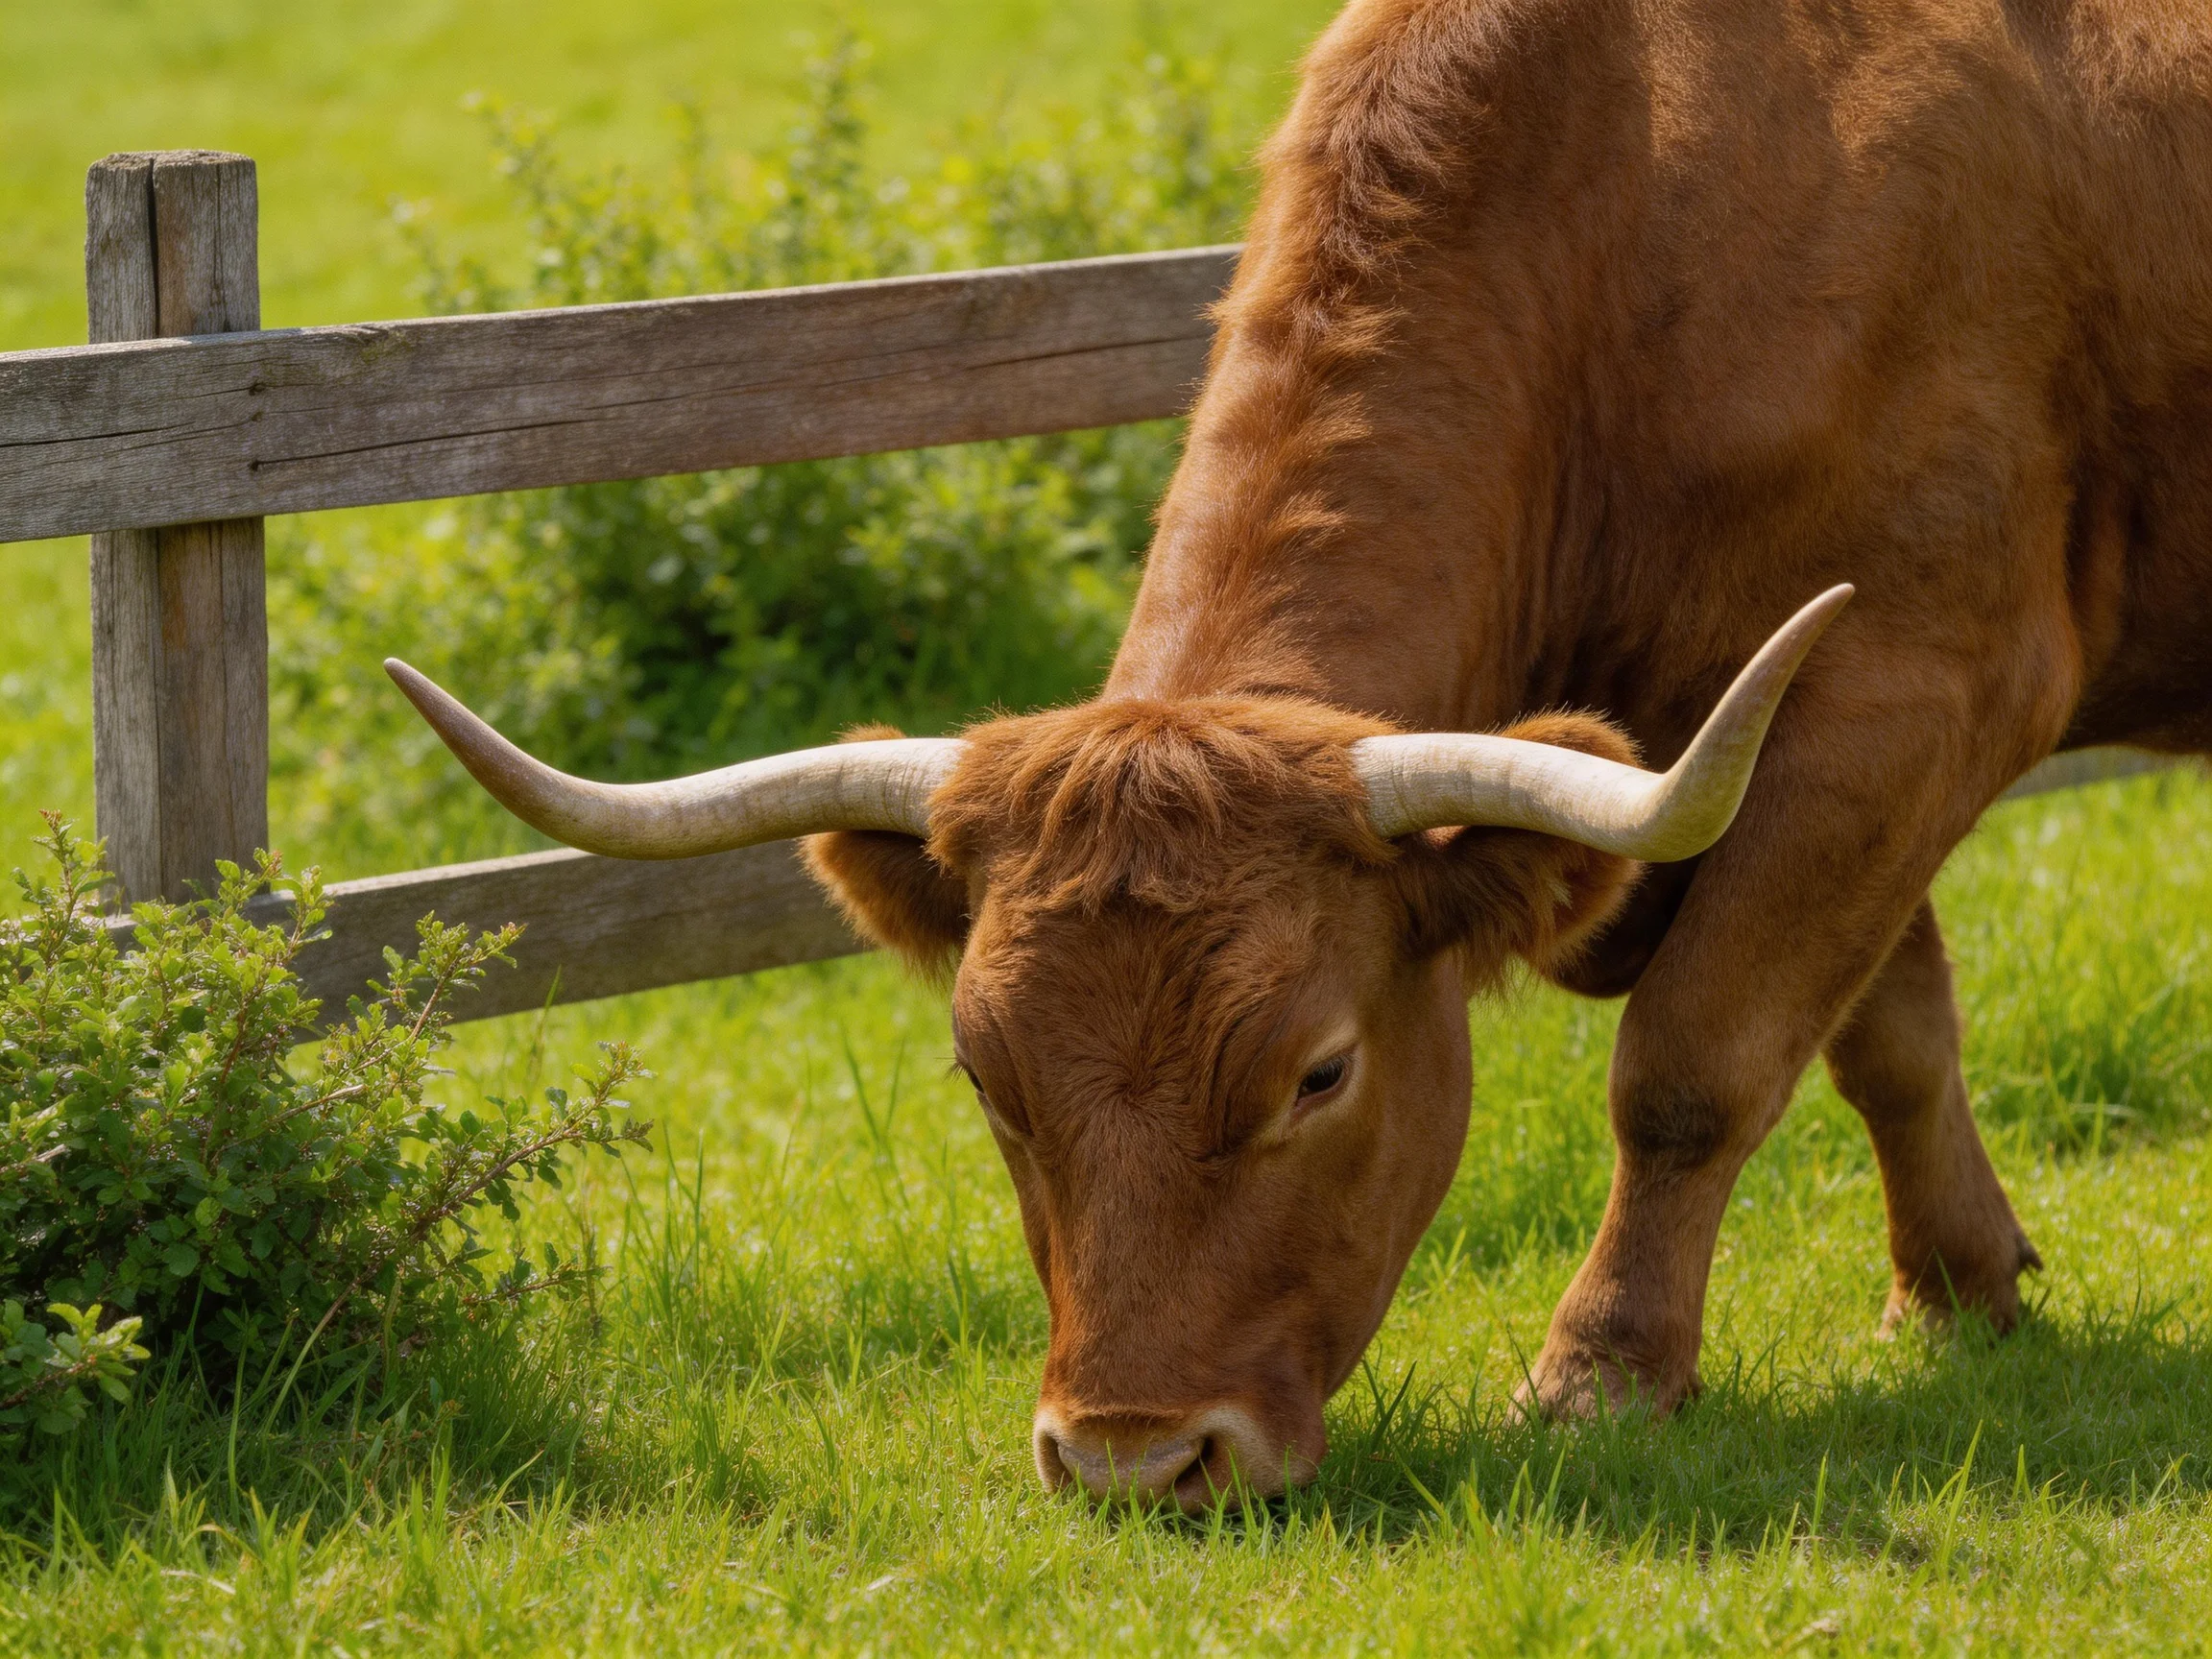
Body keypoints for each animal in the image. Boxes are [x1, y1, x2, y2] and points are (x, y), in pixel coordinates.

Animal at [385, 0, 2212, 1510]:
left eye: (1318, 1072)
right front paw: (1959, 1290)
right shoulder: (1770, 748)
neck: (1646, 209)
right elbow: (1886, 1031)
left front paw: (1602, 1374)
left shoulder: (1906, 682)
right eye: (984, 1078)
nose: (1131, 1457)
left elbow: (1697, 1062)